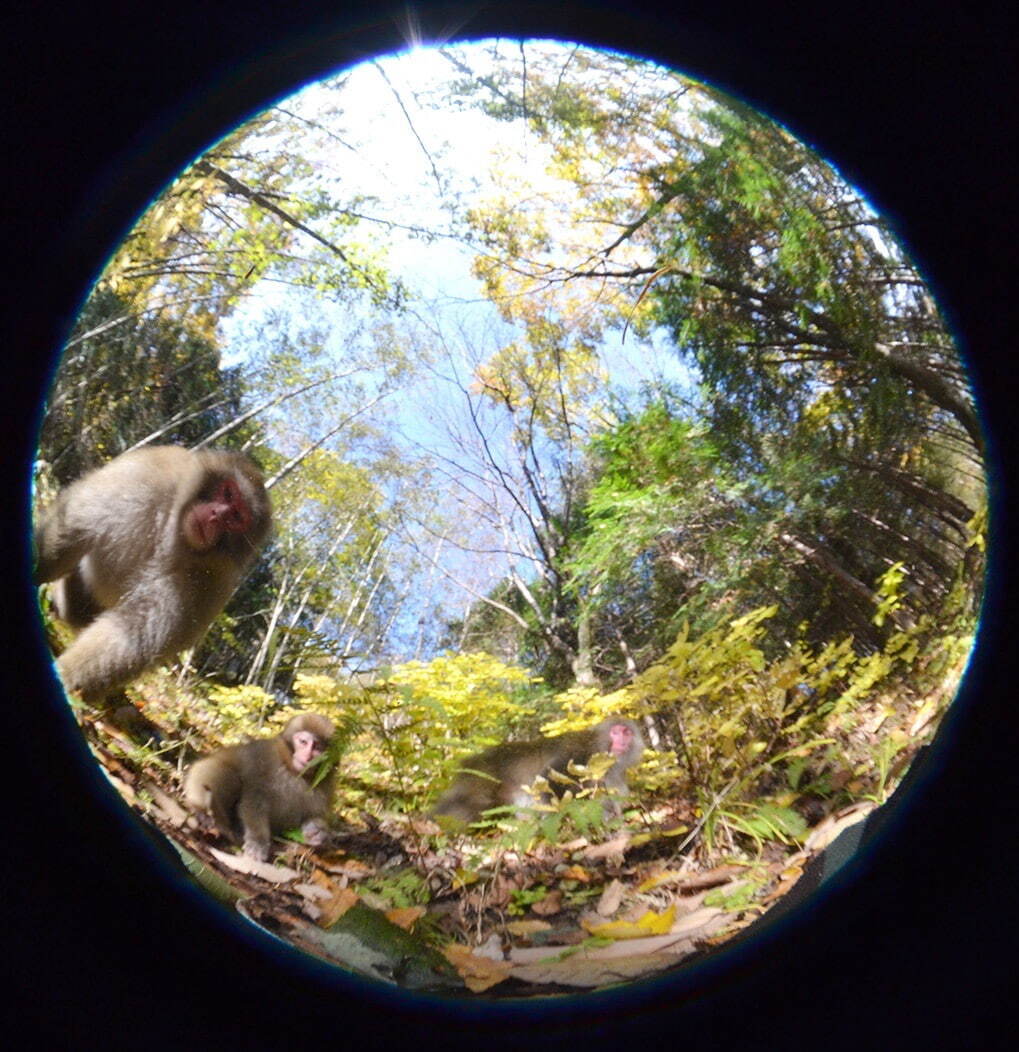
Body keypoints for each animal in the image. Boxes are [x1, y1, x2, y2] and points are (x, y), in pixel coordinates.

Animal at [36, 443, 273, 698]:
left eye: (236, 516)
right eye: (228, 493)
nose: (216, 515)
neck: (175, 533)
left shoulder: (205, 586)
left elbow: (133, 634)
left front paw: (64, 678)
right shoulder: (147, 477)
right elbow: (71, 529)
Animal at [182, 715, 334, 862]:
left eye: (317, 747)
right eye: (303, 742)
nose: (308, 757)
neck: (292, 770)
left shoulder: (325, 785)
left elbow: (314, 816)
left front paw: (318, 832)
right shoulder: (263, 758)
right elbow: (253, 802)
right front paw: (258, 841)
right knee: (226, 773)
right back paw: (207, 815)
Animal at [431, 719, 643, 824]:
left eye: (627, 733)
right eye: (616, 732)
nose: (622, 740)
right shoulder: (579, 751)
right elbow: (549, 780)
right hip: (479, 777)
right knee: (461, 809)